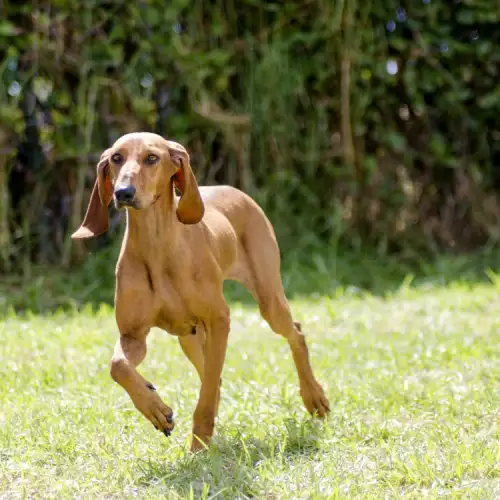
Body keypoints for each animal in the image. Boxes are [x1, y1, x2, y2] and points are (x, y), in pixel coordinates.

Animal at [70, 132, 328, 450]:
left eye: (152, 158)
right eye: (116, 158)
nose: (123, 192)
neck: (157, 247)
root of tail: (232, 189)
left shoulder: (219, 321)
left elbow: (207, 391)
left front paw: (199, 444)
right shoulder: (133, 336)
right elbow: (118, 366)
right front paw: (156, 409)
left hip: (268, 300)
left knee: (295, 332)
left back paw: (314, 397)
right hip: (189, 337)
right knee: (210, 375)